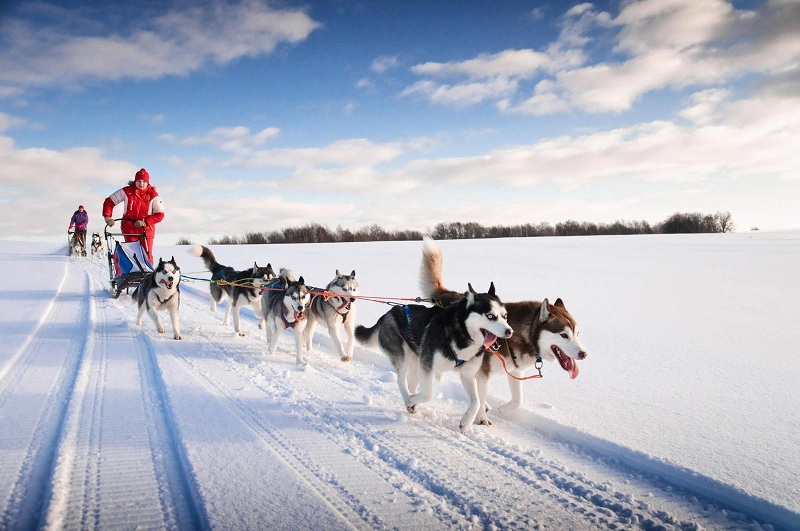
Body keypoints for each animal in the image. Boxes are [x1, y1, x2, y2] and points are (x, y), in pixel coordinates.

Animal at [356, 282, 512, 432]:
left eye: (505, 316)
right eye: (490, 316)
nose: (509, 331)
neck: (462, 334)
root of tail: (387, 314)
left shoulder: (467, 374)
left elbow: (477, 401)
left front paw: (466, 423)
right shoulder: (427, 366)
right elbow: (428, 394)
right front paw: (412, 400)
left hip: (415, 361)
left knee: (412, 382)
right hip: (403, 358)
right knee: (401, 381)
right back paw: (409, 399)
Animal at [418, 239, 588, 426]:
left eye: (577, 334)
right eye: (564, 335)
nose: (583, 354)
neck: (524, 335)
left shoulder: (515, 371)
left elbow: (518, 400)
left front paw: (502, 409)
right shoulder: (483, 373)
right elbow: (480, 397)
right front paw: (481, 418)